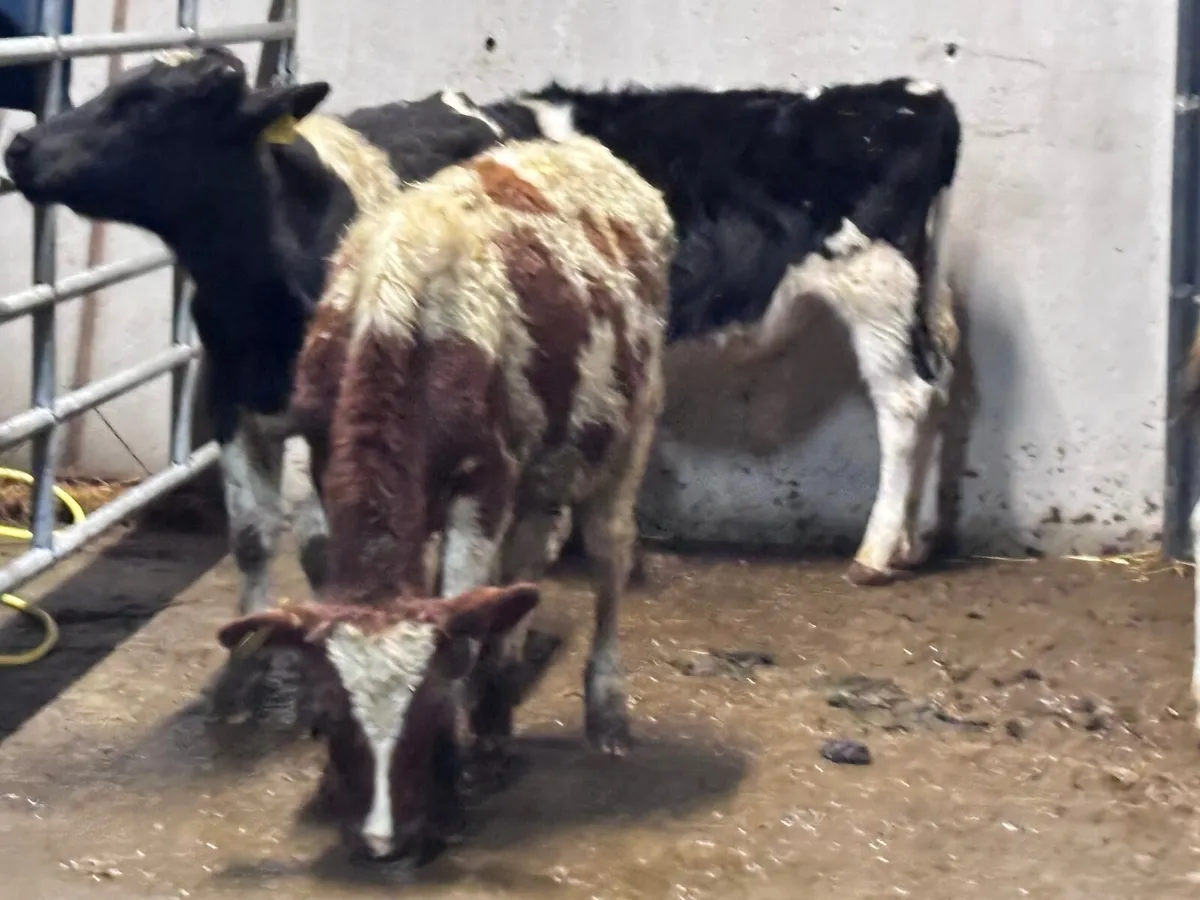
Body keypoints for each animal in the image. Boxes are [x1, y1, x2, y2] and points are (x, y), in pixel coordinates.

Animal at [215, 132, 676, 859]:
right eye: (328, 713)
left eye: (429, 708)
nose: (381, 838)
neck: (399, 326)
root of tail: (582, 147)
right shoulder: (327, 459)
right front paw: (332, 786)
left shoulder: (481, 484)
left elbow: (463, 611)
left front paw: (451, 783)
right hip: (544, 465)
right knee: (526, 564)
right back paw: (497, 710)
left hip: (629, 429)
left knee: (607, 557)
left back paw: (605, 711)